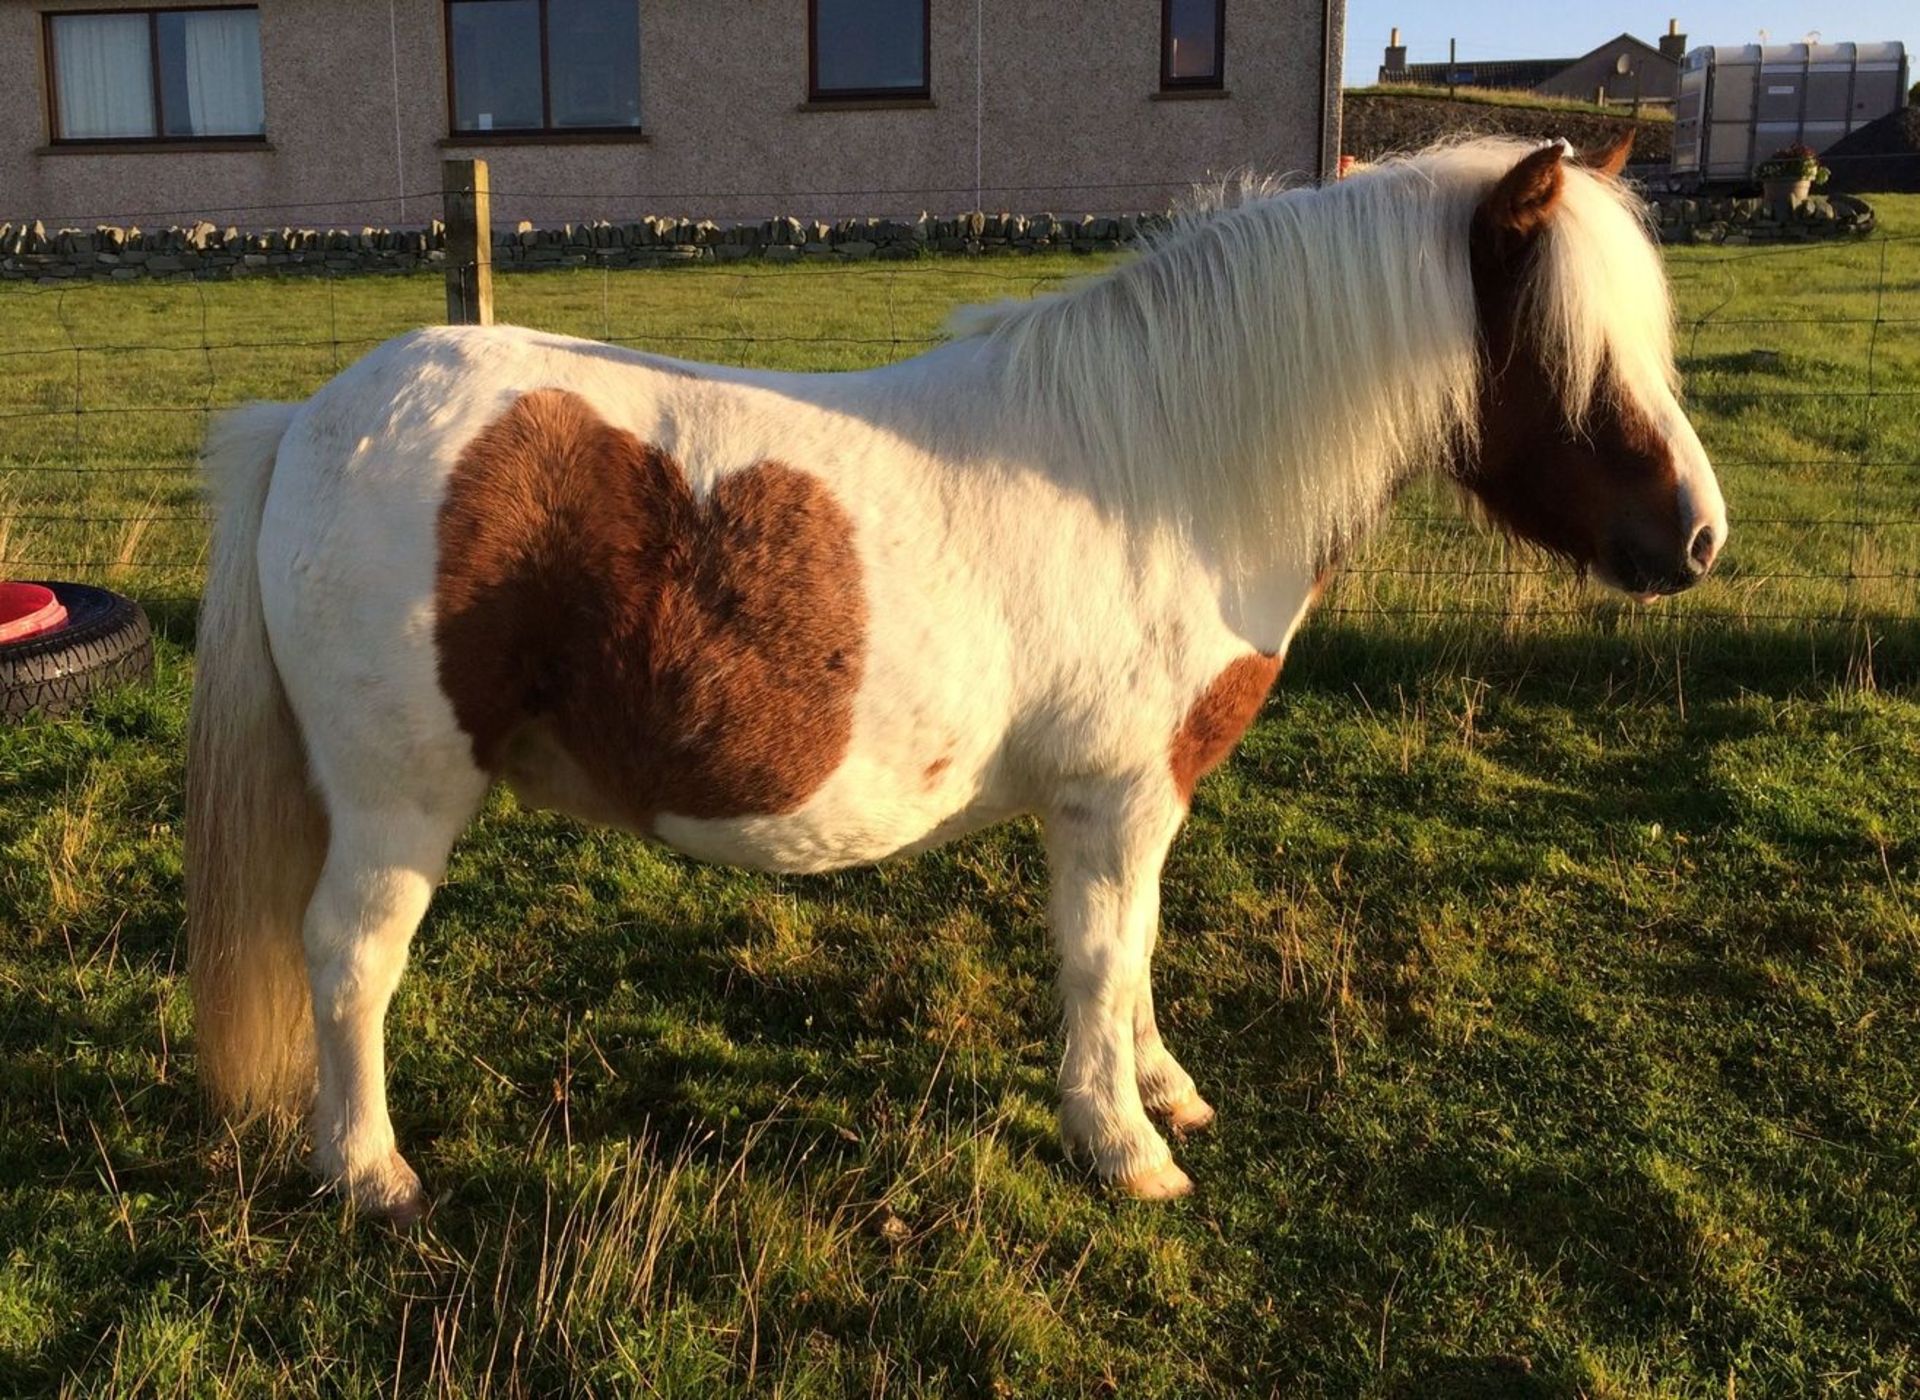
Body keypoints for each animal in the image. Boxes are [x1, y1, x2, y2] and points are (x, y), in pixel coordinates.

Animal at [191, 136, 1728, 1221]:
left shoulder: (1143, 805)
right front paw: (1124, 1148)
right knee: (351, 958)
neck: (1165, 468)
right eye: (1572, 353)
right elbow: (1102, 957)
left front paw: (1163, 1092)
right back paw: (370, 1174)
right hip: (399, 800)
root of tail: (318, 417)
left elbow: (1137, 954)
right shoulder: (1114, 798)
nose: (1700, 538)